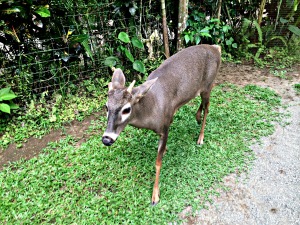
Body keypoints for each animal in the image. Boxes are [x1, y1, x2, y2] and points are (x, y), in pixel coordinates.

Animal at [102, 44, 221, 206]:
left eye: (126, 109)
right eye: (106, 106)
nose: (106, 139)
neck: (152, 107)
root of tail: (216, 48)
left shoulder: (164, 127)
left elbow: (158, 162)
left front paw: (155, 196)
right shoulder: (169, 118)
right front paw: (165, 150)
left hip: (209, 84)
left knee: (208, 108)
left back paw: (200, 138)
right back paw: (197, 117)